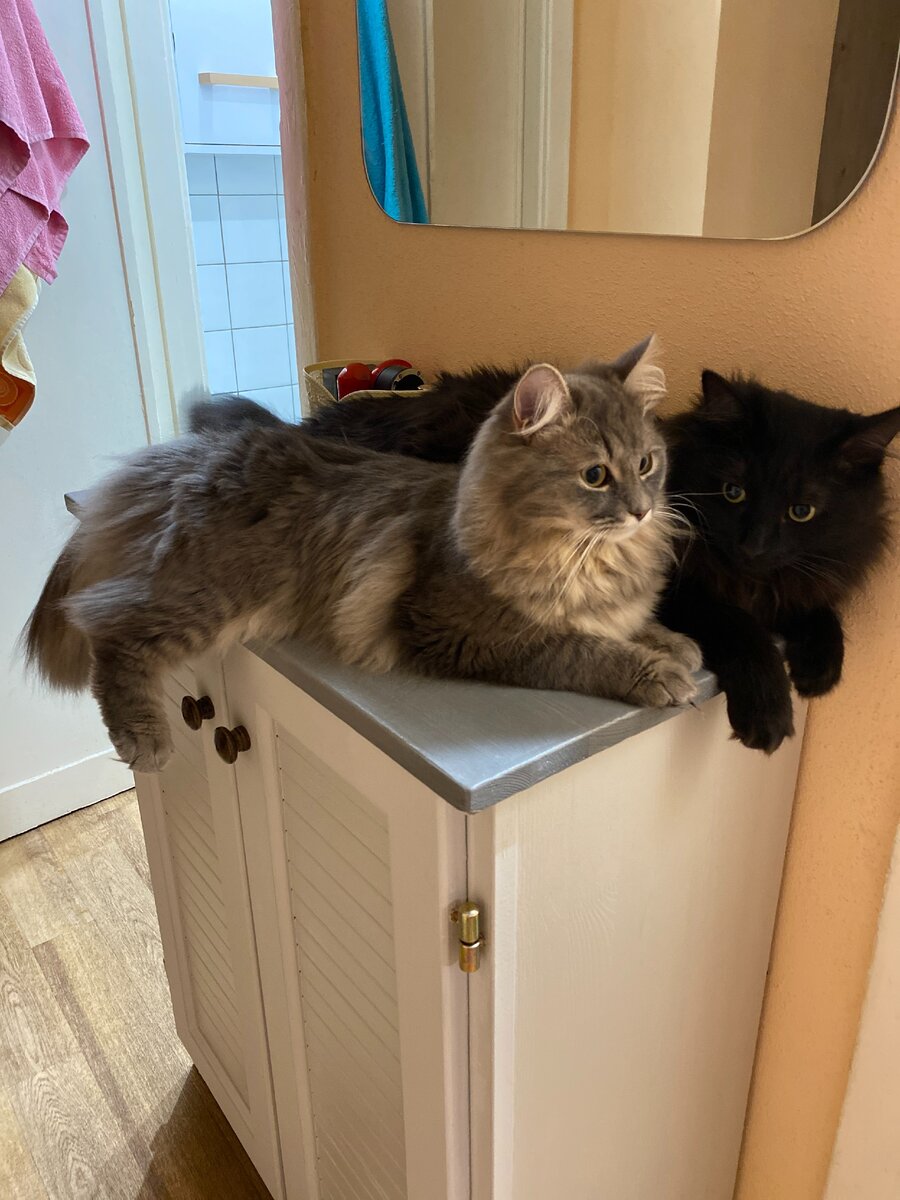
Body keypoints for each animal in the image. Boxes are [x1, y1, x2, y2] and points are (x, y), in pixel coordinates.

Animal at [26, 338, 701, 773]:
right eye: (595, 475)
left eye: (648, 463)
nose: (642, 510)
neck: (585, 557)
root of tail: (207, 450)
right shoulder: (463, 631)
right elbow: (578, 649)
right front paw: (655, 672)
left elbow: (633, 626)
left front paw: (675, 644)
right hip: (208, 597)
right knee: (108, 628)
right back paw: (143, 740)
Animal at [198, 361, 900, 753]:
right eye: (735, 492)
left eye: (802, 511)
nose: (752, 546)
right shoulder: (692, 592)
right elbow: (742, 633)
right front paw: (768, 709)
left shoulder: (797, 578)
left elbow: (819, 610)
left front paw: (820, 667)